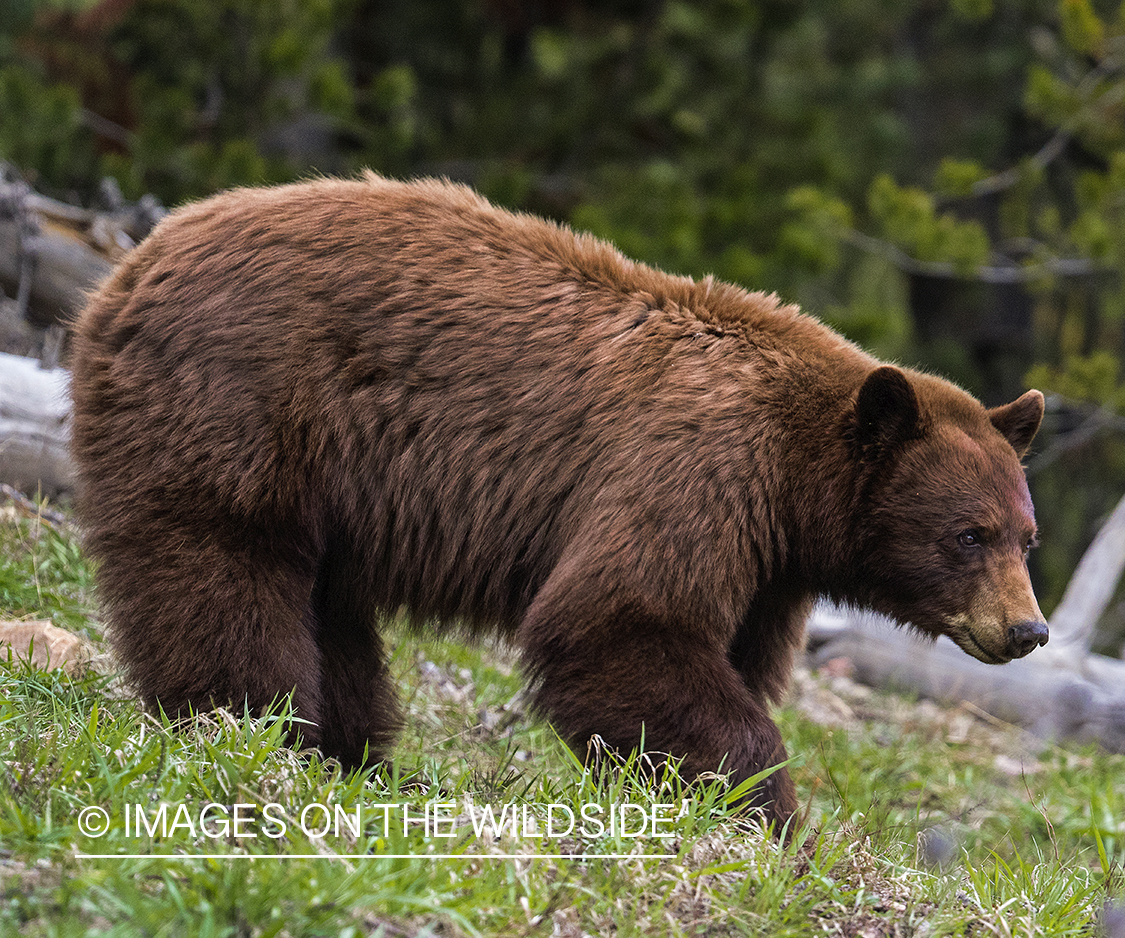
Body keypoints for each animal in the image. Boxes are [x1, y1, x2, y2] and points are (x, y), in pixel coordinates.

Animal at [70, 172, 1048, 827]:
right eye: (968, 534)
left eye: (1024, 538)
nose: (1027, 629)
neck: (792, 475)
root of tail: (132, 259)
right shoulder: (693, 470)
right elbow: (618, 624)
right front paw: (759, 813)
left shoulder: (769, 564)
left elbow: (732, 656)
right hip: (241, 404)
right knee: (224, 563)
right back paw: (250, 725)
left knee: (328, 610)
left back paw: (356, 757)